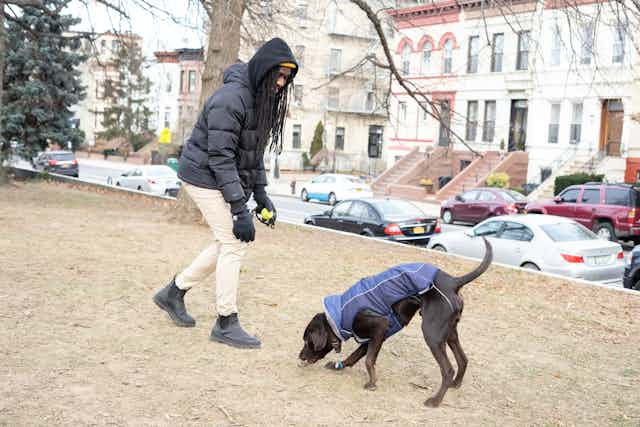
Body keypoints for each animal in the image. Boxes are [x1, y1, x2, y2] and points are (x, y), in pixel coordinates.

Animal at [298, 237, 492, 408]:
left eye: (308, 341)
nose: (300, 357)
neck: (340, 314)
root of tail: (453, 282)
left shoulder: (379, 328)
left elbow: (368, 360)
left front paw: (372, 384)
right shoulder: (372, 338)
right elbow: (355, 355)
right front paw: (340, 366)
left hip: (432, 334)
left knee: (448, 370)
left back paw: (435, 401)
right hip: (449, 332)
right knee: (463, 359)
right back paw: (455, 384)